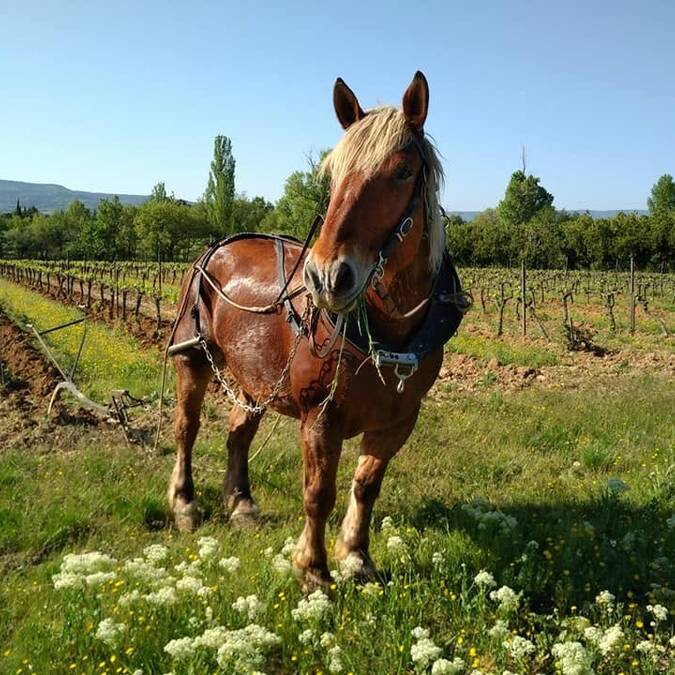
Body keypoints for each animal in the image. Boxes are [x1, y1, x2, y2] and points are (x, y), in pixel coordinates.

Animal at [167, 71, 467, 590]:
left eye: (403, 171)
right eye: (333, 174)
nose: (327, 277)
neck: (386, 333)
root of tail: (217, 248)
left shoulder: (399, 420)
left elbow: (366, 485)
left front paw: (356, 555)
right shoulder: (319, 418)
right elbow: (318, 493)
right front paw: (313, 569)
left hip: (256, 377)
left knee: (238, 431)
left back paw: (242, 503)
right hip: (193, 357)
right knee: (187, 427)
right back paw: (185, 504)